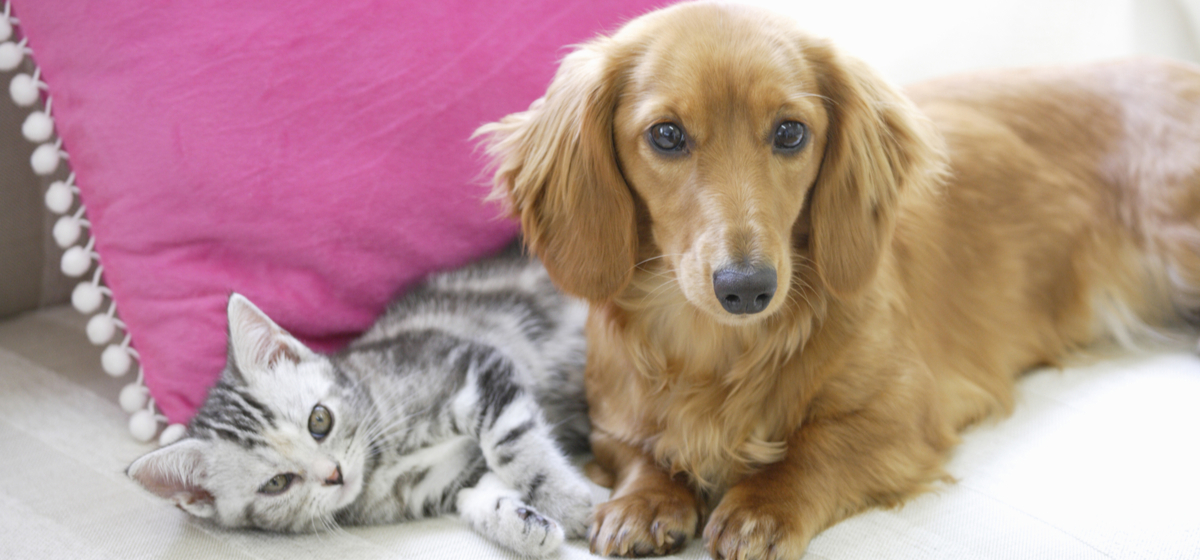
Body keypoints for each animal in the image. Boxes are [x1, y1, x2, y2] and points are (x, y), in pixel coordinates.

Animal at [127, 248, 595, 557]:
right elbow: (477, 493)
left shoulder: (474, 365)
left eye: (319, 420)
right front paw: (524, 524)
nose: (333, 474)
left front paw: (571, 502)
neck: (381, 465)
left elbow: (514, 446)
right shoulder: (441, 482)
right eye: (276, 484)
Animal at [478, 2, 1200, 558]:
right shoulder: (609, 421)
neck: (718, 349)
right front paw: (645, 499)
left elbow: (817, 446)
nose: (747, 288)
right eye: (667, 136)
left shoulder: (907, 412)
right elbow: (637, 449)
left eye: (791, 132)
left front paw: (761, 504)